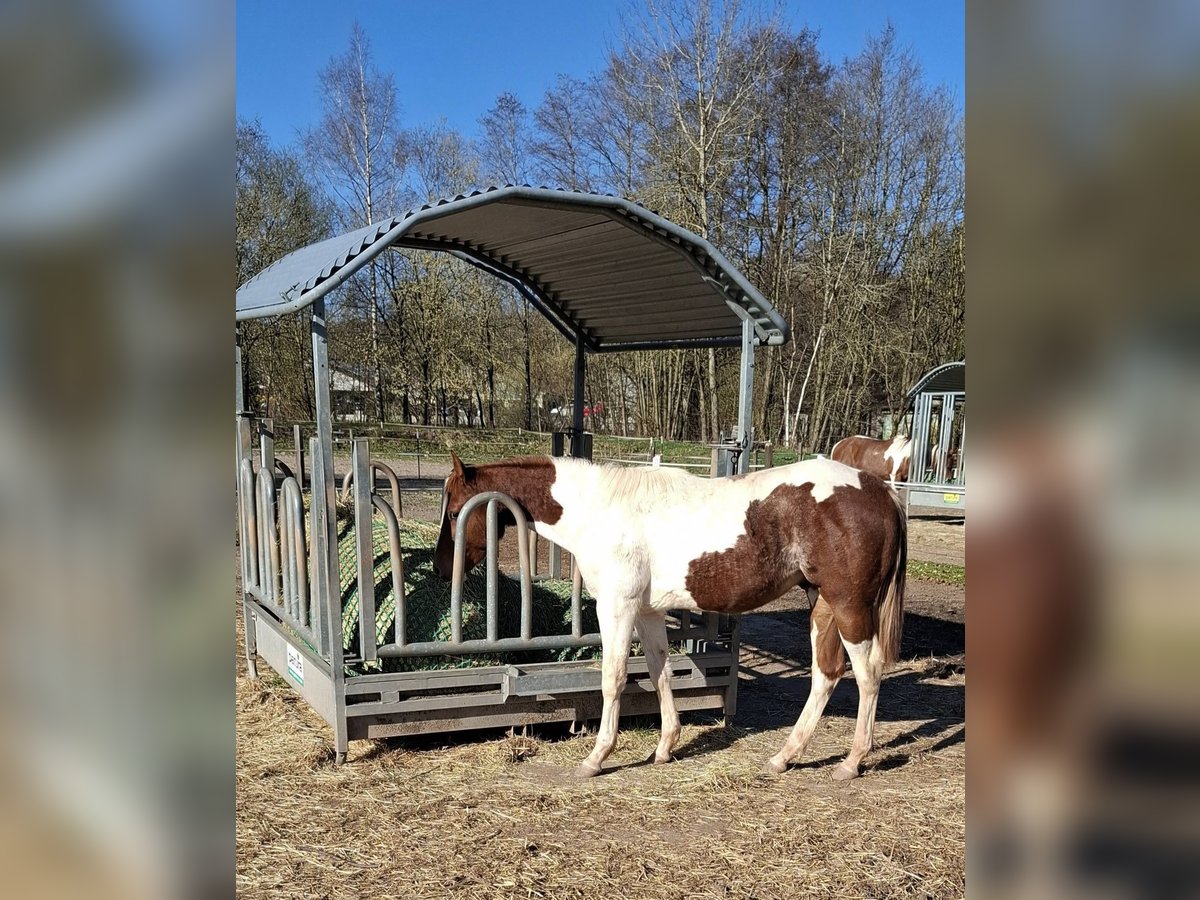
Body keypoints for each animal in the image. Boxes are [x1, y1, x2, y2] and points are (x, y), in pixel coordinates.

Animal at [433, 453, 907, 781]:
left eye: (455, 513)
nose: (440, 570)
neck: (601, 509)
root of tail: (880, 491)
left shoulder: (617, 607)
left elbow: (614, 677)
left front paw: (596, 757)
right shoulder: (647, 612)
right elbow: (659, 671)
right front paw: (665, 747)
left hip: (847, 606)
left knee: (867, 674)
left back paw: (851, 761)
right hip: (821, 605)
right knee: (826, 674)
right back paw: (784, 757)